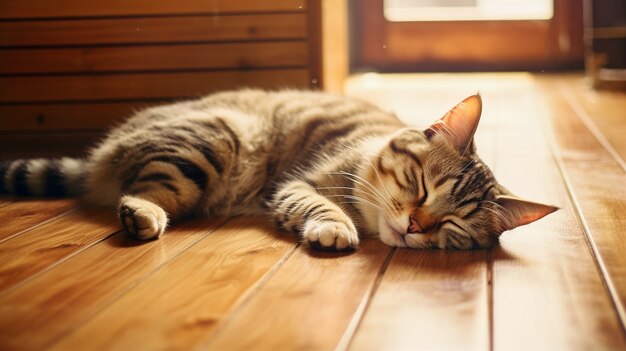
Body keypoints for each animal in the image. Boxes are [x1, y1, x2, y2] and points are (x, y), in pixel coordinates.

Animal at [0, 89, 556, 252]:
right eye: (421, 187)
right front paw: (335, 227)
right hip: (215, 139)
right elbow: (320, 205)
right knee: (145, 191)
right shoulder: (301, 182)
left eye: (454, 225)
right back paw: (143, 215)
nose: (415, 226)